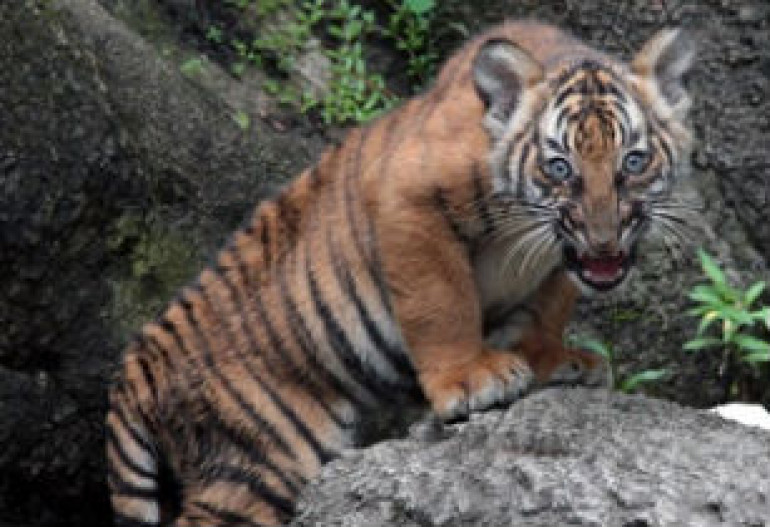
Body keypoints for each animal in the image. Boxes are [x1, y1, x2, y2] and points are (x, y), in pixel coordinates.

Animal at [106, 20, 694, 527]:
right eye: (559, 167)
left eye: (633, 161)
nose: (603, 239)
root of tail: (138, 362)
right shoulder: (409, 202)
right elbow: (442, 303)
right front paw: (471, 379)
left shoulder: (556, 260)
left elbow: (548, 306)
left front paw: (554, 360)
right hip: (262, 457)